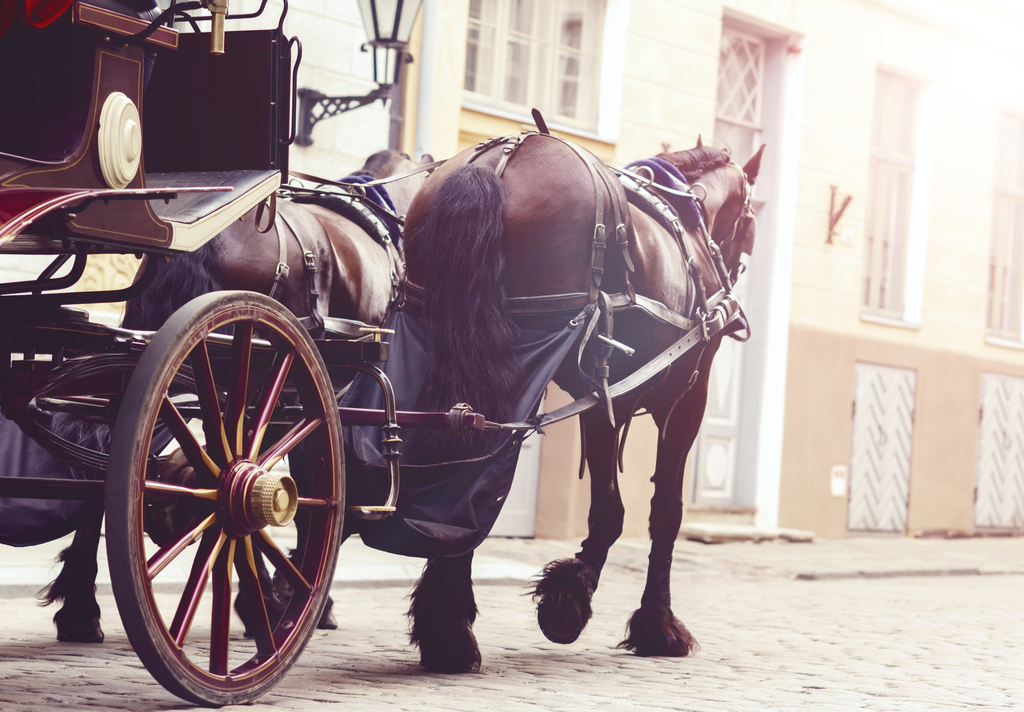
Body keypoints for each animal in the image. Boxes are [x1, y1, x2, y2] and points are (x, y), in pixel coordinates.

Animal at [399, 135, 761, 672]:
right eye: (752, 218)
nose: (734, 314)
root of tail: (503, 159)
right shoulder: (659, 396)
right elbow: (649, 512)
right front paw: (605, 607)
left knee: (459, 466)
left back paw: (445, 628)